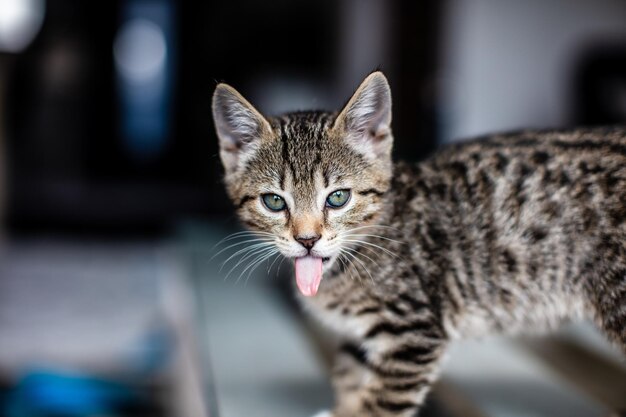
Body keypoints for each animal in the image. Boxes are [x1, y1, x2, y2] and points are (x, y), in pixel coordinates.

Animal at [211, 72, 624, 416]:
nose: (307, 239)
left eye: (338, 198)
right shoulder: (361, 337)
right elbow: (349, 379)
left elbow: (378, 406)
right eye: (274, 202)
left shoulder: (413, 332)